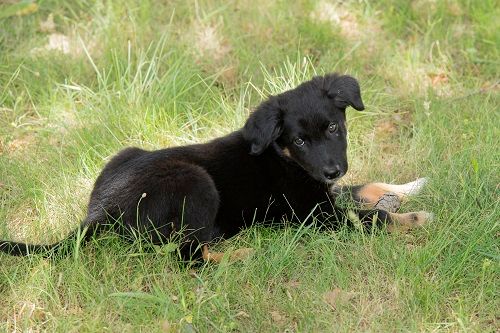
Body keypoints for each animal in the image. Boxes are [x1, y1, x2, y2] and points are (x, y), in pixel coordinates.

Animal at [0, 74, 430, 260]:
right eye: (299, 141)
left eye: (333, 128)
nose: (332, 170)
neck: (282, 157)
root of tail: (98, 211)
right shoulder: (314, 214)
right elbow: (371, 217)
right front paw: (414, 217)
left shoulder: (323, 192)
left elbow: (366, 187)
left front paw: (410, 187)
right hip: (196, 182)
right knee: (188, 256)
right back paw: (246, 253)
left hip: (124, 154)